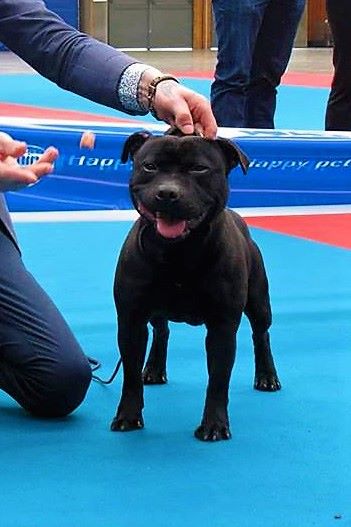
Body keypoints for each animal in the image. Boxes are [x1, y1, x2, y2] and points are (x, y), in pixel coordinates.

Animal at [111, 131, 282, 442]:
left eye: (199, 169)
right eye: (150, 166)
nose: (167, 193)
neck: (178, 252)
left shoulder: (222, 327)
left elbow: (218, 380)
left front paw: (214, 425)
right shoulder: (131, 321)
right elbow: (129, 375)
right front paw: (128, 416)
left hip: (259, 303)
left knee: (261, 334)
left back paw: (267, 376)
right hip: (156, 312)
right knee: (162, 331)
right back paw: (153, 369)